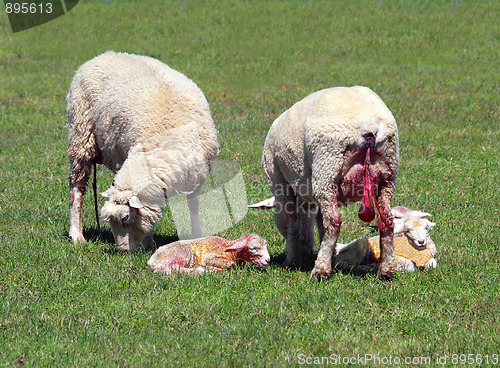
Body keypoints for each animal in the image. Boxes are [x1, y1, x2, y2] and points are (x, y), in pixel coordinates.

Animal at [67, 51, 219, 250]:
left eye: (125, 218)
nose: (122, 250)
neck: (168, 142)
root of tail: (104, 54)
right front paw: (148, 243)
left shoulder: (196, 179)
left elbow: (193, 207)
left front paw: (196, 236)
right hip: (81, 136)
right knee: (76, 191)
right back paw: (77, 235)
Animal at [262, 86, 398, 280]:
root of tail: (369, 127)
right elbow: (319, 223)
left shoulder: (281, 183)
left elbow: (294, 223)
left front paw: (291, 261)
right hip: (387, 174)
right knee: (386, 220)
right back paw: (386, 270)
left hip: (327, 170)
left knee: (333, 222)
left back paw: (320, 270)